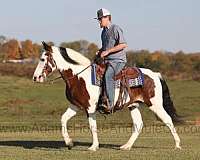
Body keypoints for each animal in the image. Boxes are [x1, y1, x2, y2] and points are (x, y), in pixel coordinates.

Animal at [33, 42, 183, 151]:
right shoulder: (75, 106)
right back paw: (126, 146)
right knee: (138, 124)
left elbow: (92, 126)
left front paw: (93, 147)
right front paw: (69, 143)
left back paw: (177, 145)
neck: (79, 77)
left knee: (168, 120)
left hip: (155, 105)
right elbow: (63, 119)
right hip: (133, 105)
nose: (35, 77)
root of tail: (155, 74)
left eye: (42, 59)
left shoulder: (90, 108)